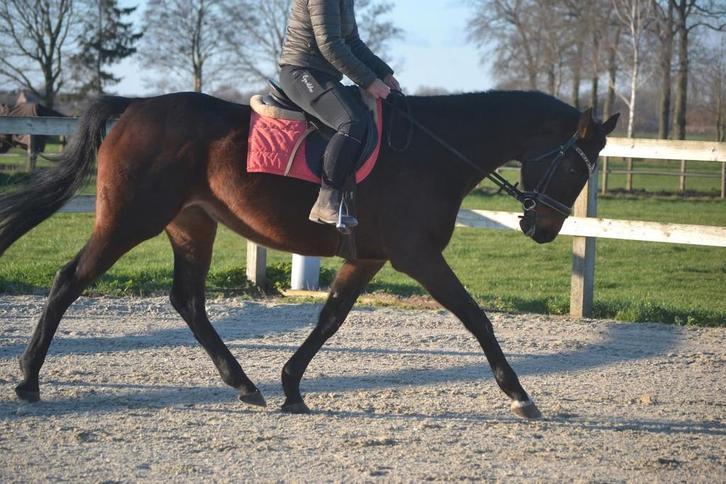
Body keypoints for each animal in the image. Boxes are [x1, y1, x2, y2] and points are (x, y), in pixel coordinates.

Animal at [0, 89, 618, 419]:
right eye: (573, 168)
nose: (542, 228)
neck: (433, 152)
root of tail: (134, 107)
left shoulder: (367, 258)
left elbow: (329, 319)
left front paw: (292, 384)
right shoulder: (417, 257)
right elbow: (476, 318)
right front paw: (519, 395)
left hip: (192, 224)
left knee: (189, 302)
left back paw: (244, 384)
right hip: (131, 219)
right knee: (69, 279)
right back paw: (28, 380)